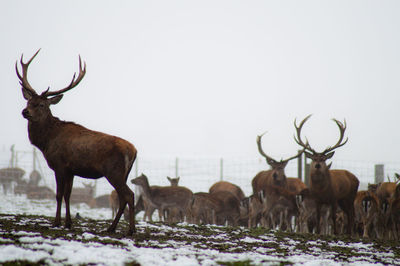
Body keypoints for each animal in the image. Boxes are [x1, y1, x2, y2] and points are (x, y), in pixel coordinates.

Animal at [16, 50, 138, 235]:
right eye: (28, 101)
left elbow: (59, 194)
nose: (25, 111)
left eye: (42, 104)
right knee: (123, 197)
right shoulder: (71, 170)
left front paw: (56, 223)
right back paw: (111, 227)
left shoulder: (59, 165)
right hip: (124, 173)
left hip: (113, 171)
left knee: (128, 195)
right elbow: (68, 195)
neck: (46, 142)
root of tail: (134, 150)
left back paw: (130, 230)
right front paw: (68, 223)